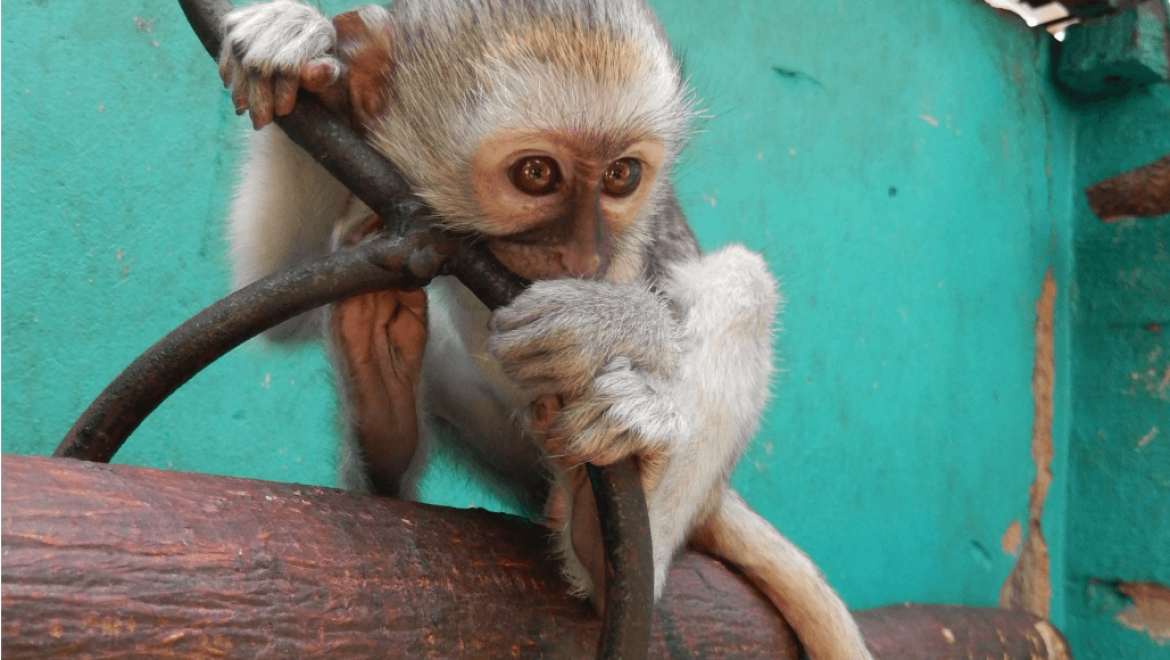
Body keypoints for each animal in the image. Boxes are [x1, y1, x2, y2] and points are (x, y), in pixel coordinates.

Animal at [221, 2, 870, 655]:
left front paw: (598, 323)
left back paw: (603, 547)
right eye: (537, 173)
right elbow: (287, 310)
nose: (581, 255)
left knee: (746, 286)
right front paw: (303, 56)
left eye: (620, 175)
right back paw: (383, 411)